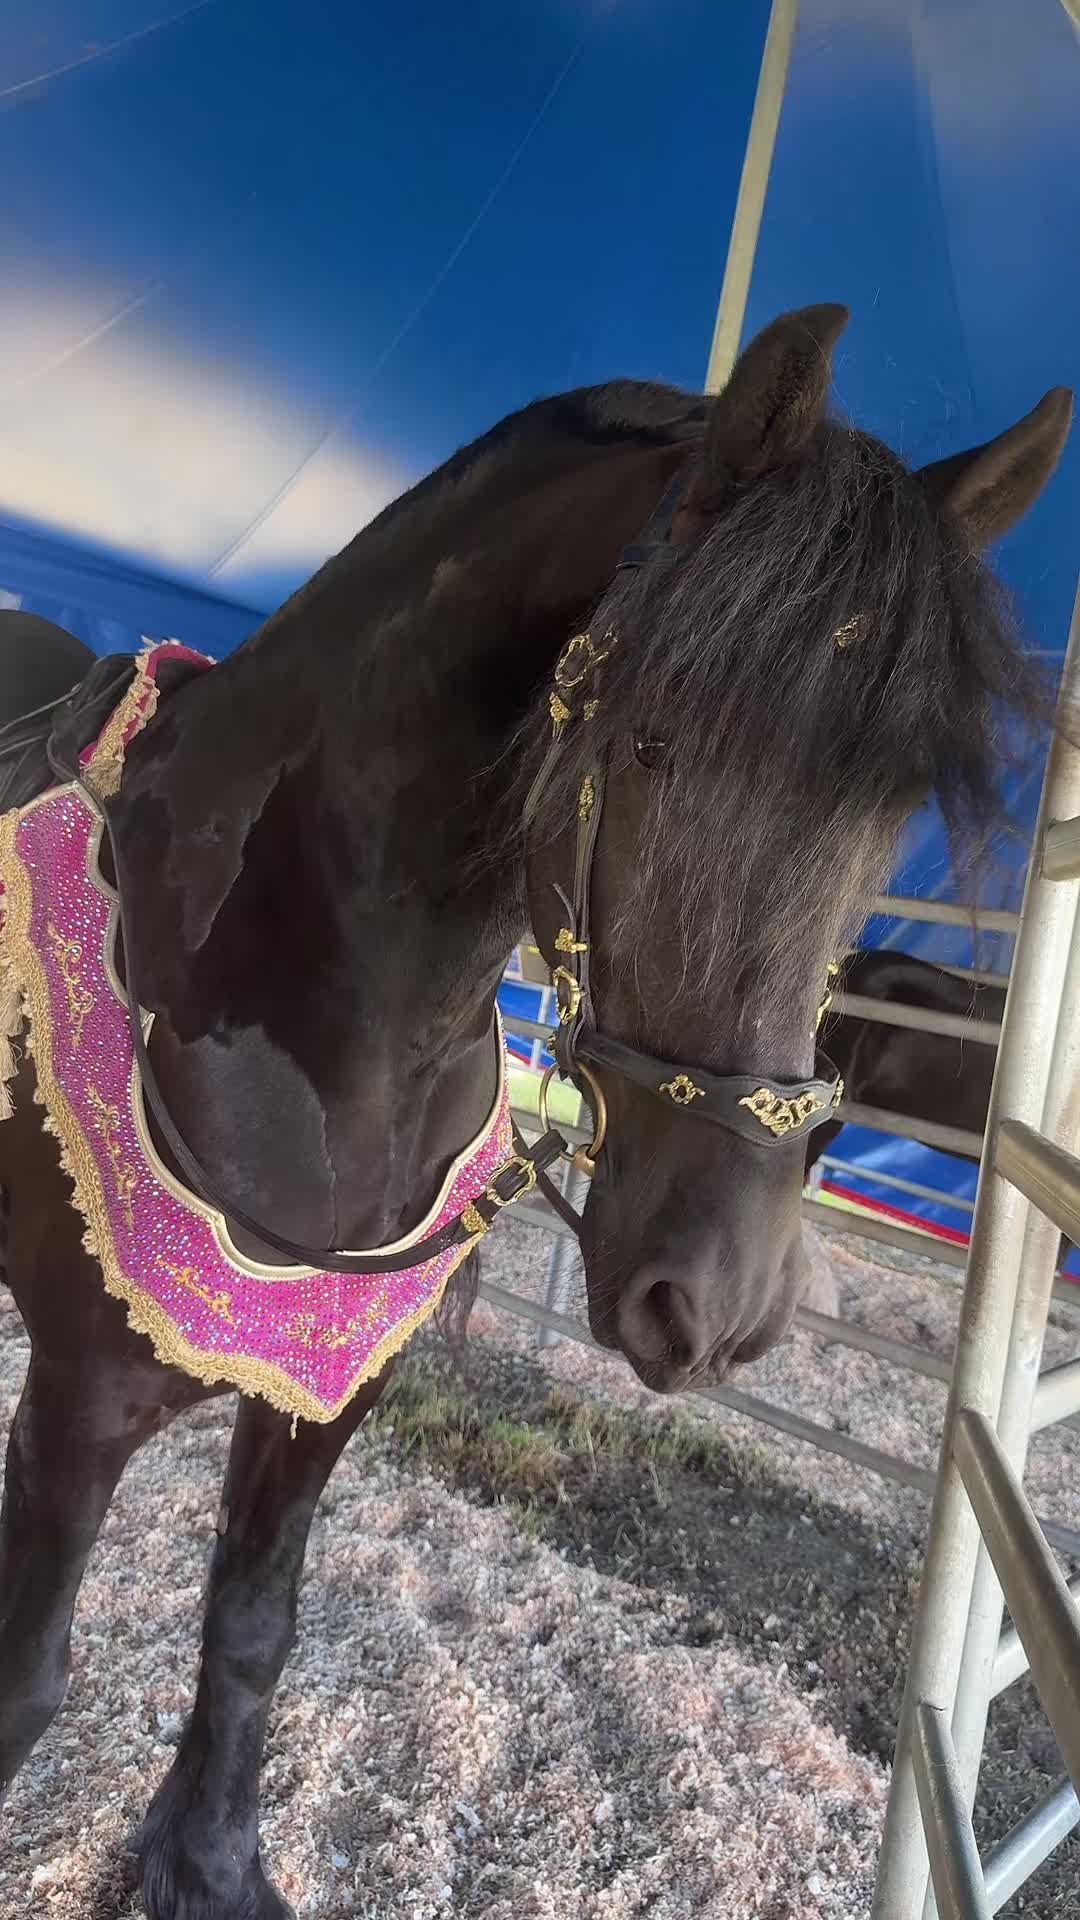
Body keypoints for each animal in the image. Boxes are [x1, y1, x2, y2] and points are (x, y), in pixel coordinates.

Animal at [0, 304, 1070, 1920]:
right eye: (651, 745)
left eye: (888, 820)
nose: (724, 1302)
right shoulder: (79, 1403)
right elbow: (30, 1683)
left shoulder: (323, 1398)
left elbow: (250, 1629)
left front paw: (207, 1865)